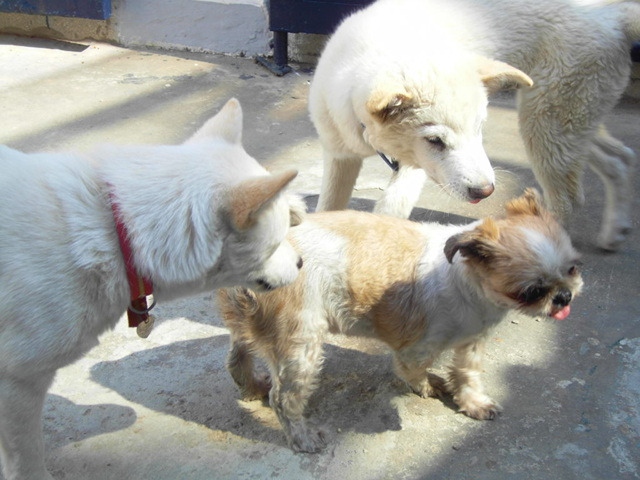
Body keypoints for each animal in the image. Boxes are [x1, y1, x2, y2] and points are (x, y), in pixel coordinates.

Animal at [218, 189, 584, 453]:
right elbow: (414, 371)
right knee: (284, 399)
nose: (563, 296)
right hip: (301, 343)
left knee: (238, 356)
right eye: (532, 291)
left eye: (573, 267)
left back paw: (251, 386)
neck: (467, 282)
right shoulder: (418, 347)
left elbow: (467, 375)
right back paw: (302, 438)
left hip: (251, 325)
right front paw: (427, 387)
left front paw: (473, 402)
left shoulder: (473, 341)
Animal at [309, 0, 639, 251]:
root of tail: (615, 13)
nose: (486, 191)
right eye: (435, 141)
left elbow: (389, 212)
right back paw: (615, 230)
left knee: (568, 200)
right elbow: (328, 207)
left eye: (480, 128)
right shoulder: (340, 155)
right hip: (568, 117)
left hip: (547, 120)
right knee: (620, 158)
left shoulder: (411, 167)